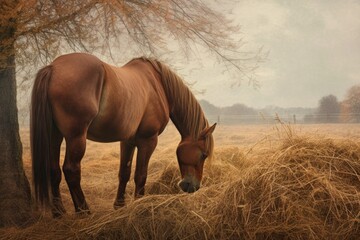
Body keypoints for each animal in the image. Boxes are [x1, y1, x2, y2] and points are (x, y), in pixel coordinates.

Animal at [31, 52, 215, 218]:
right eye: (203, 154)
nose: (192, 186)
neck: (158, 85)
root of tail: (53, 68)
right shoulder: (148, 140)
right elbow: (140, 174)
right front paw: (140, 205)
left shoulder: (128, 141)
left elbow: (124, 173)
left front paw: (120, 205)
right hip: (76, 137)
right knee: (71, 170)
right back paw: (84, 211)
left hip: (55, 136)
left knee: (54, 170)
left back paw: (58, 212)